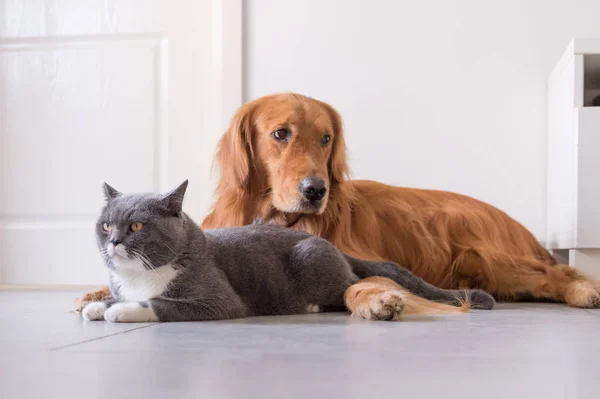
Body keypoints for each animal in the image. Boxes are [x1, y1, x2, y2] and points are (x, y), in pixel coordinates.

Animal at [79, 180, 494, 324]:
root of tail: (336, 248)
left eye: (136, 227)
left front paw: (120, 311)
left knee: (346, 289)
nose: (114, 241)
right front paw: (97, 305)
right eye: (106, 226)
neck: (139, 276)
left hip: (313, 257)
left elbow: (161, 303)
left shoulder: (218, 301)